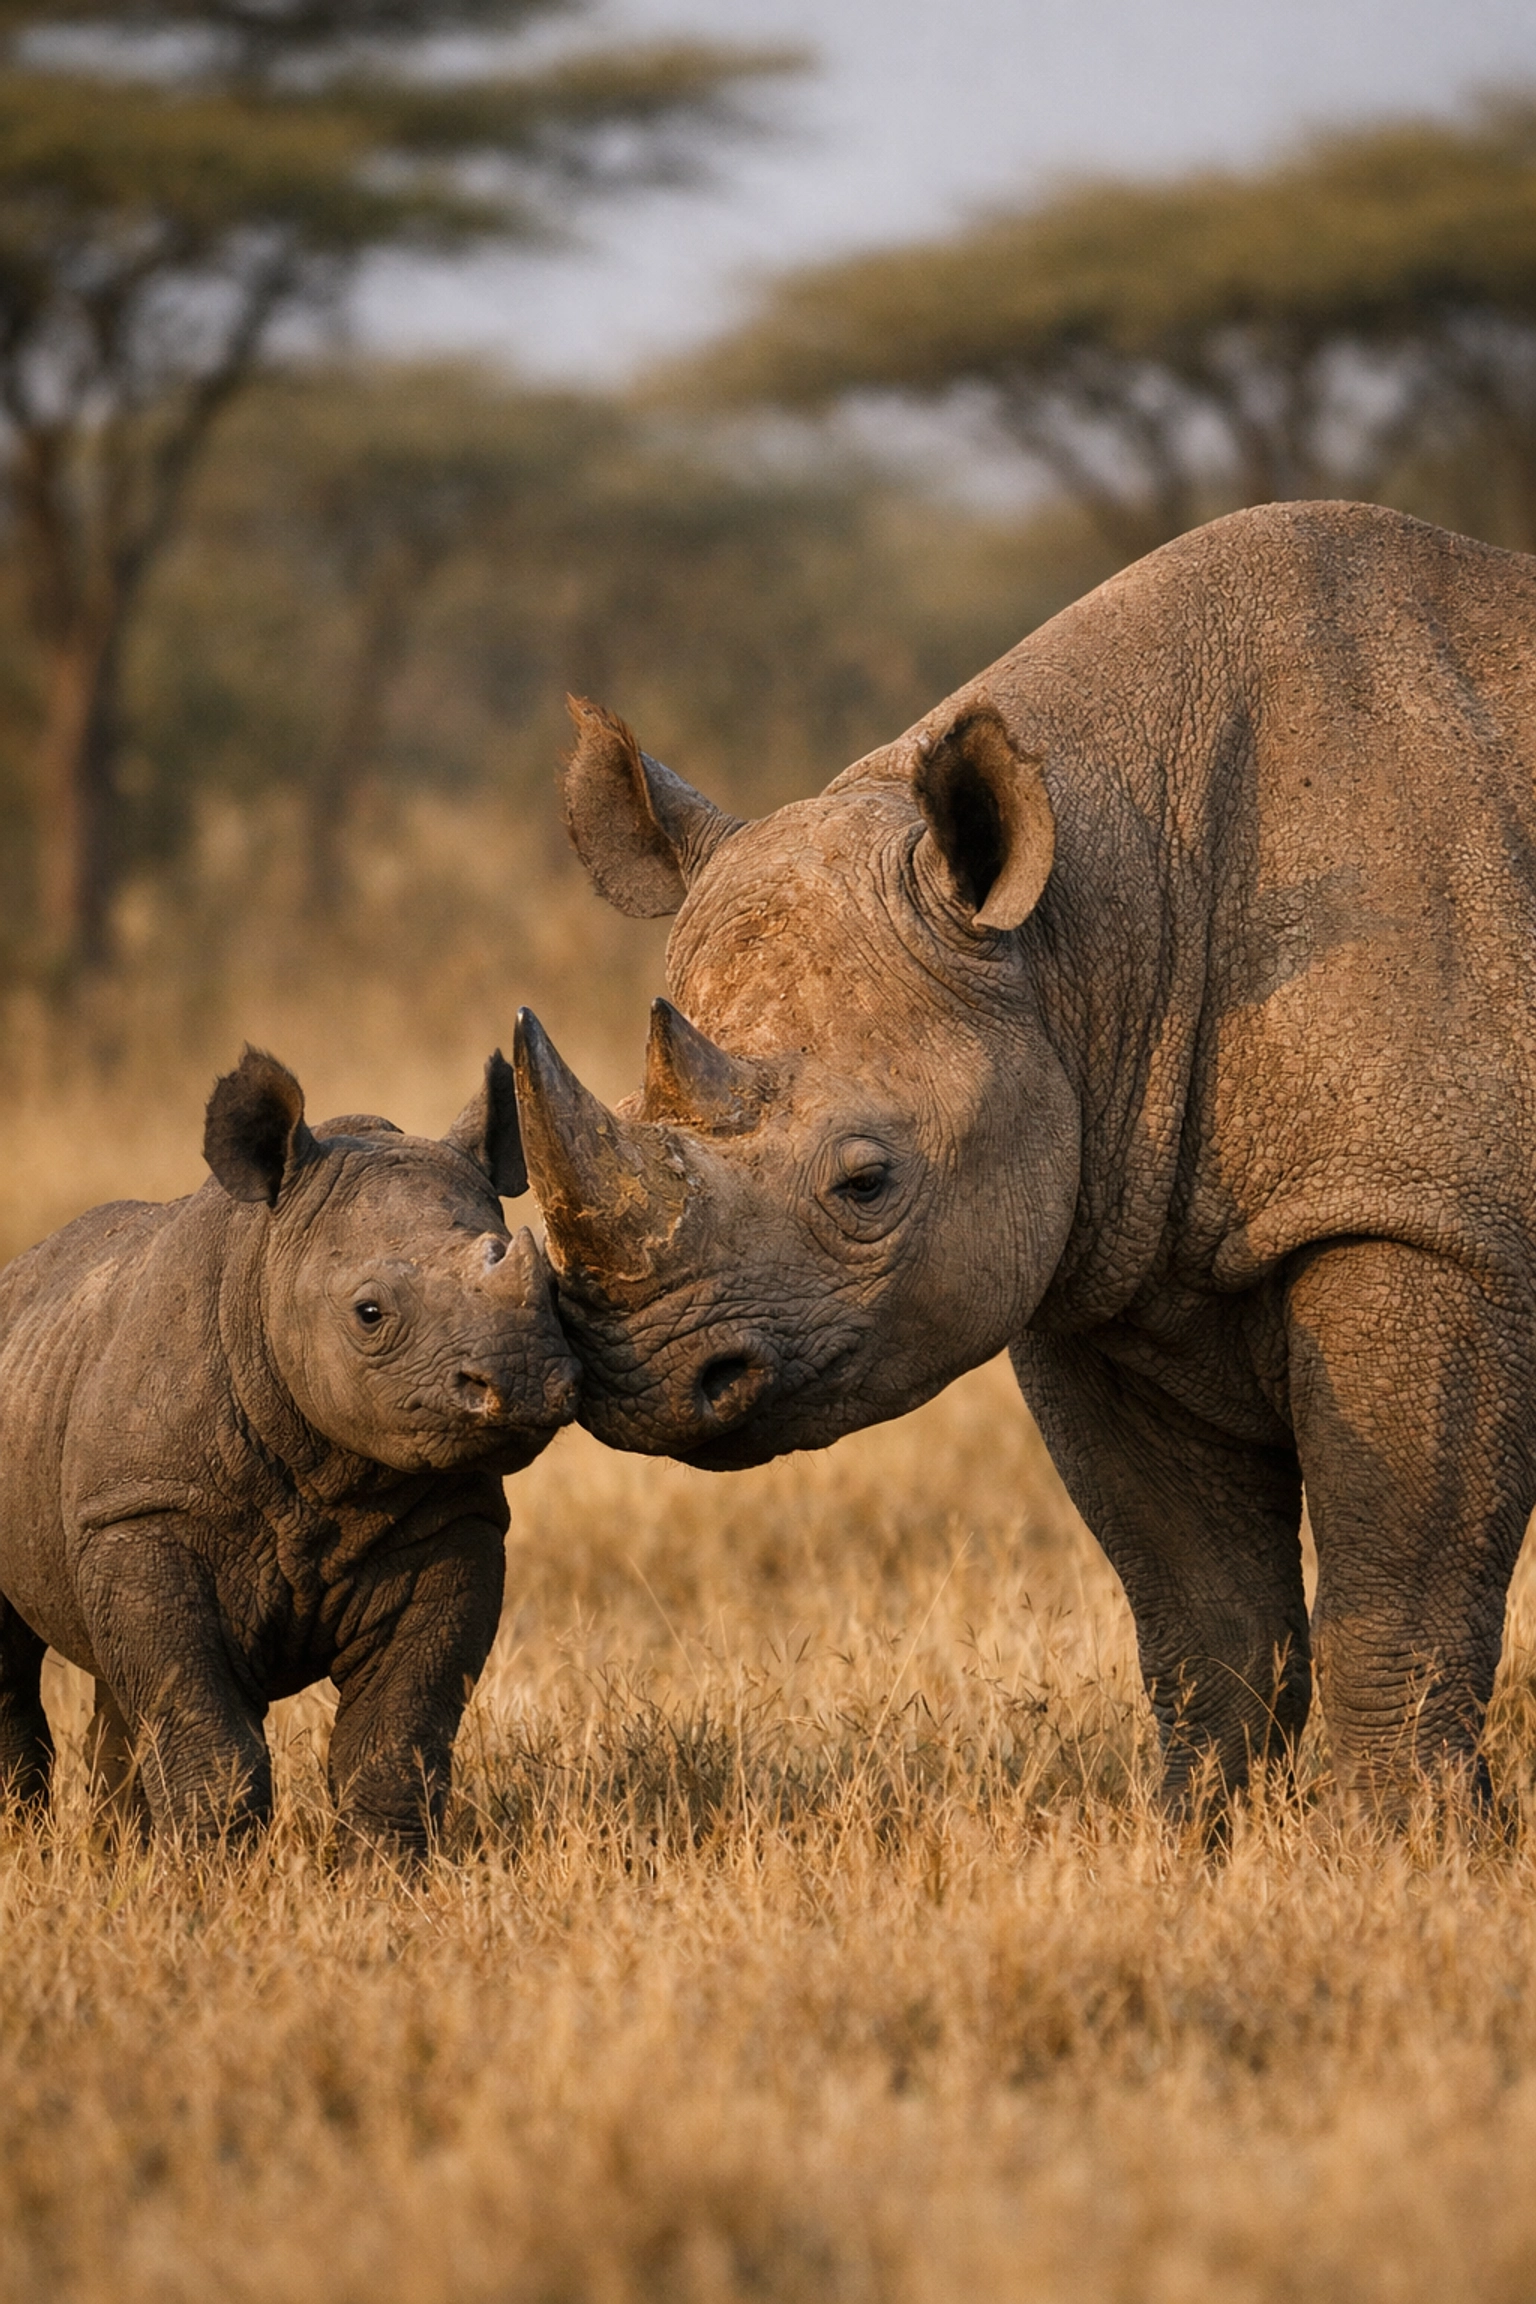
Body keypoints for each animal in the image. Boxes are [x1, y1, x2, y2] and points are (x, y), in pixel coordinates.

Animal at [0, 1047, 576, 1850]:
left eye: (553, 1290)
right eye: (369, 1313)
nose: (523, 1378)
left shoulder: (454, 1520)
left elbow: (397, 1734)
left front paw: (385, 1871)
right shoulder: (142, 1514)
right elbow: (203, 1729)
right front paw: (209, 1872)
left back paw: (119, 1855)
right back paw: (31, 1840)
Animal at [515, 500, 1536, 1808]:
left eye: (866, 1185)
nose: (641, 1382)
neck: (1088, 934)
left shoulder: (1428, 1222)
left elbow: (1400, 1587)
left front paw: (1394, 1840)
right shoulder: (1108, 1256)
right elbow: (1203, 1619)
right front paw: (1201, 1834)